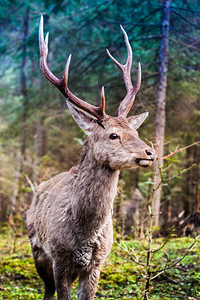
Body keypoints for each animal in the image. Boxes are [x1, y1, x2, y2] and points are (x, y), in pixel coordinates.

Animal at [25, 15, 155, 300]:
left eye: (135, 131)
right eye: (113, 135)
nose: (150, 152)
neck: (84, 235)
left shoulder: (98, 263)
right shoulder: (59, 260)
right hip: (36, 248)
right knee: (46, 290)